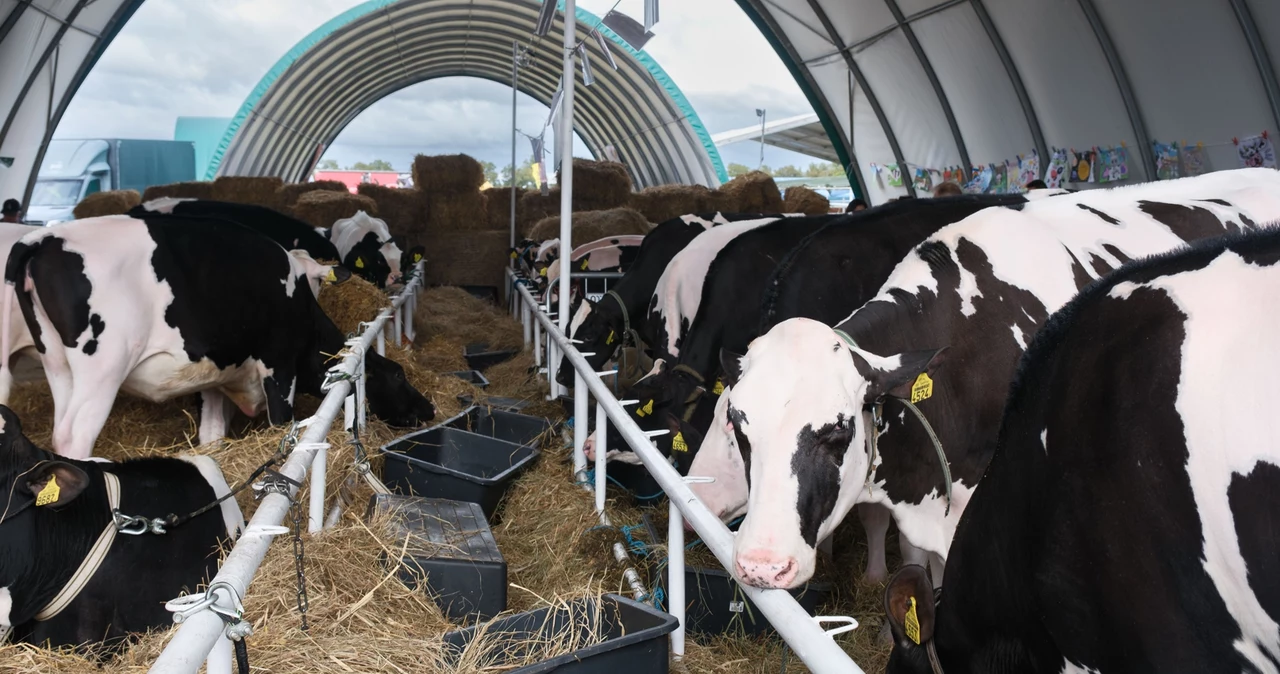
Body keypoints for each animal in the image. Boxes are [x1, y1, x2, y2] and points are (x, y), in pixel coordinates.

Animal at [1, 213, 435, 460]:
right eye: (398, 374)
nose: (429, 408)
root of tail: (41, 238)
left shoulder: (213, 375)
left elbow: (210, 435)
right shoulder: (279, 365)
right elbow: (283, 424)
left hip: (58, 366)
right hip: (102, 369)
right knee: (74, 438)